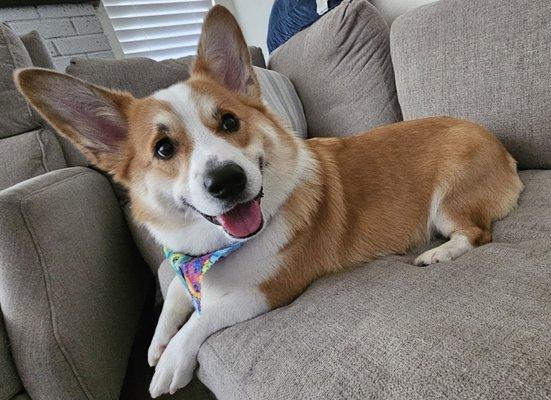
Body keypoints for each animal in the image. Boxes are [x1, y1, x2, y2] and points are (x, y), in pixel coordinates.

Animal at [11, 4, 520, 398]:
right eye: (163, 149)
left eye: (229, 122)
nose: (226, 181)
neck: (213, 248)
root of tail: (503, 149)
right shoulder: (183, 263)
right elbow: (175, 291)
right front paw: (157, 342)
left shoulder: (270, 289)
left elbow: (205, 316)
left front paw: (172, 359)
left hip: (449, 202)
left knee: (476, 233)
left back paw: (437, 254)